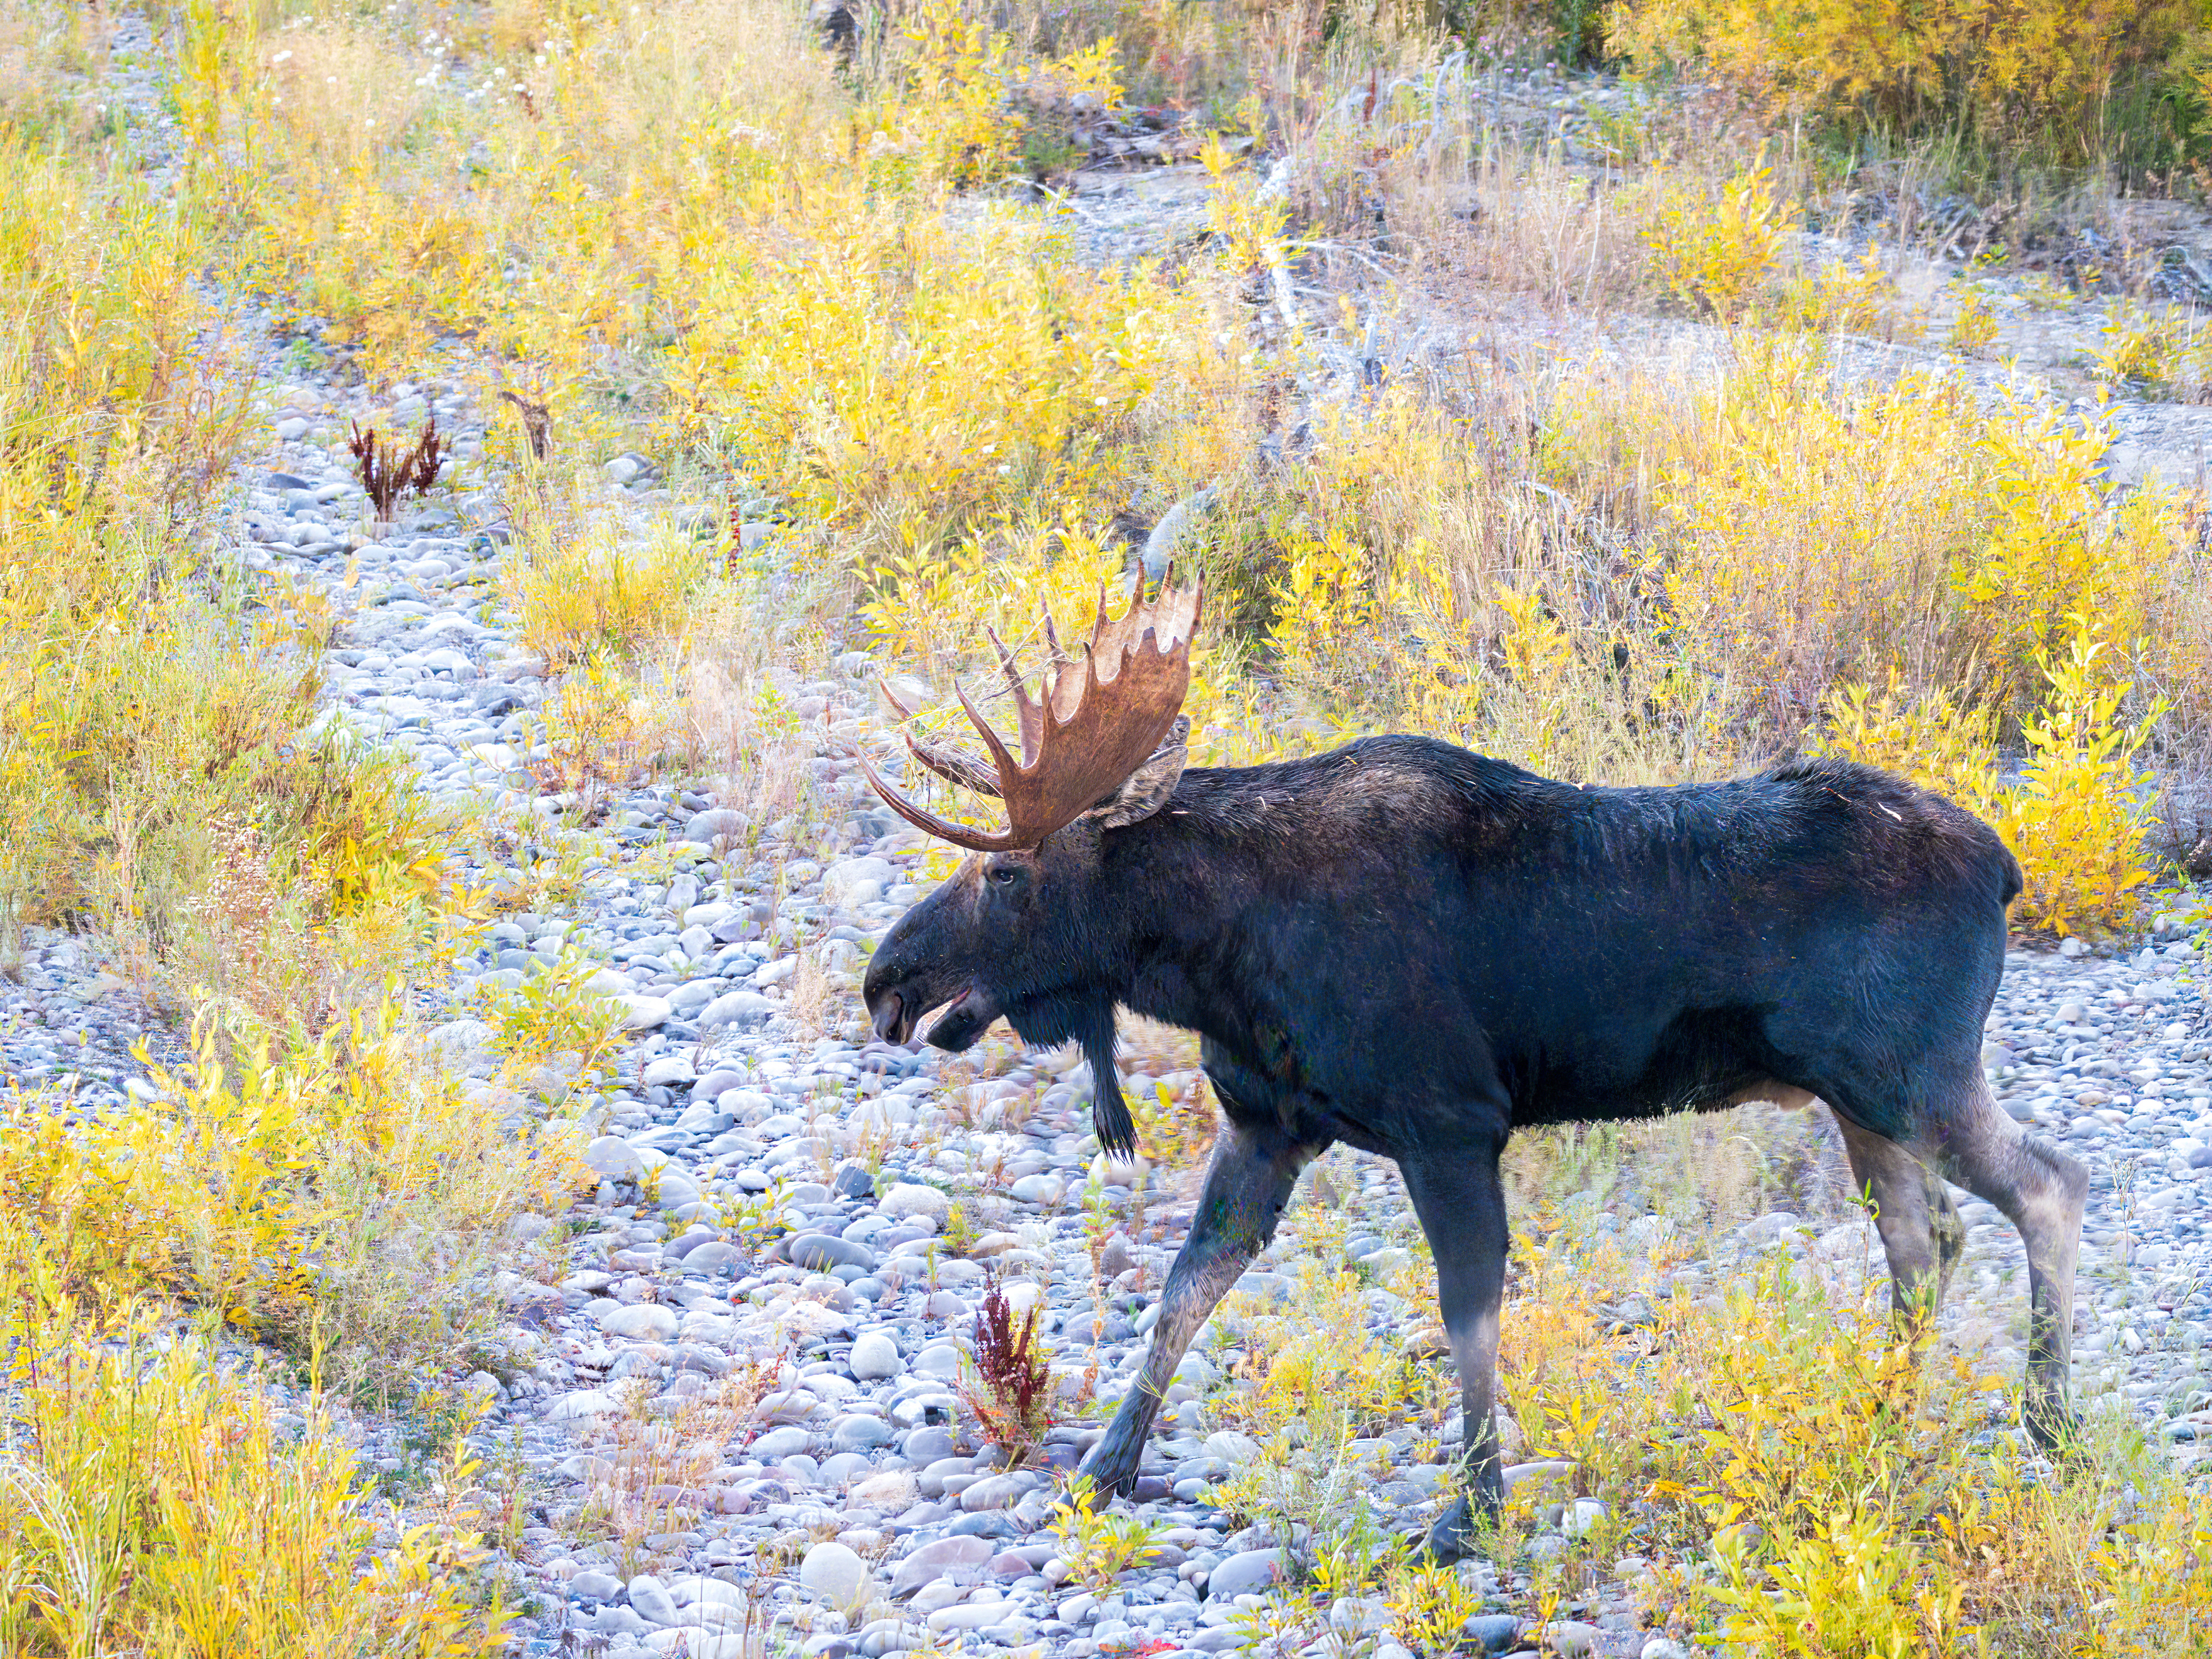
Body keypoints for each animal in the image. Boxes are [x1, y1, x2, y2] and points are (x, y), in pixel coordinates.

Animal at [857, 575, 2088, 1560]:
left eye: (1007, 873)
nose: (886, 982)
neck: (1218, 953)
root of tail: (2008, 868)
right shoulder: (1266, 1123)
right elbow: (1184, 1291)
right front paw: (1104, 1467)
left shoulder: (1448, 1121)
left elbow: (1467, 1315)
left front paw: (1473, 1511)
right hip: (1862, 1102)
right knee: (1925, 1242)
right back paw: (1883, 1417)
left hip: (1909, 1075)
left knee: (2048, 1185)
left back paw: (2048, 1423)